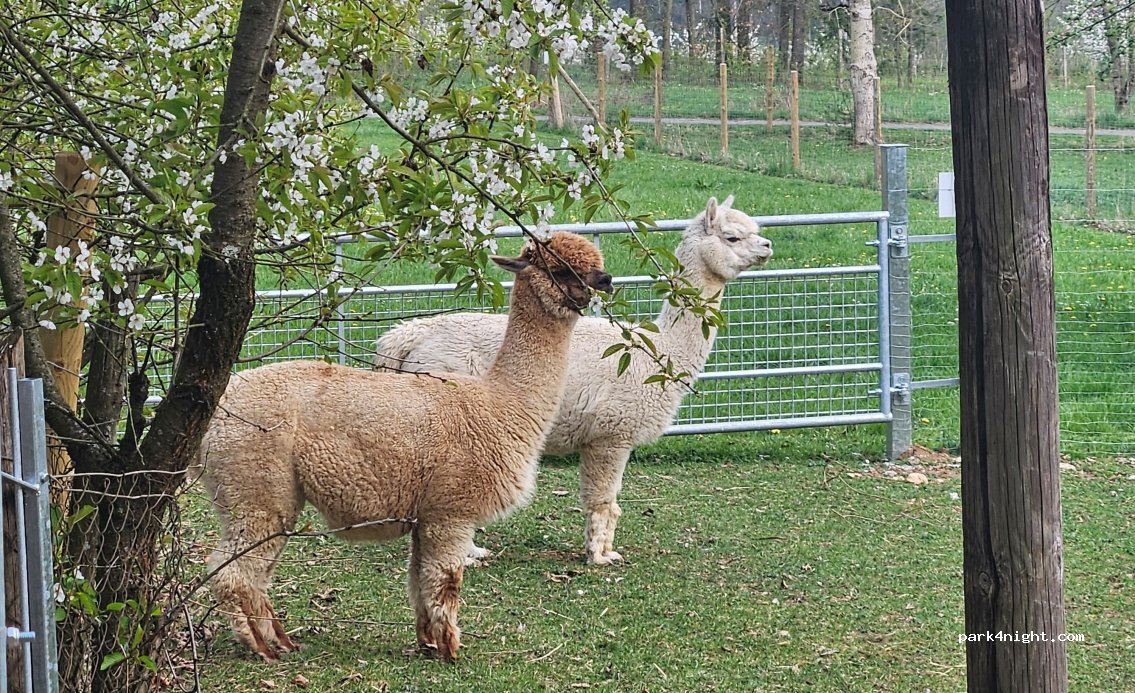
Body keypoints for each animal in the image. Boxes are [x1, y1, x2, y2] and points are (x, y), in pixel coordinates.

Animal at [196, 231, 613, 663]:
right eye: (560, 269)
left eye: (595, 262)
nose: (607, 280)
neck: (500, 402)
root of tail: (218, 412)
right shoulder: (450, 510)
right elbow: (446, 582)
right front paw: (450, 649)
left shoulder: (424, 514)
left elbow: (418, 582)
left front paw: (427, 640)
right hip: (255, 484)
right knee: (232, 573)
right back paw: (261, 646)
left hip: (262, 493)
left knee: (254, 573)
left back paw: (281, 640)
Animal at [375, 196, 773, 566]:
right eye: (733, 236)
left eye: (755, 228)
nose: (768, 245)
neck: (657, 352)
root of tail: (407, 335)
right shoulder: (611, 435)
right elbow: (604, 500)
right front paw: (601, 556)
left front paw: (601, 549)